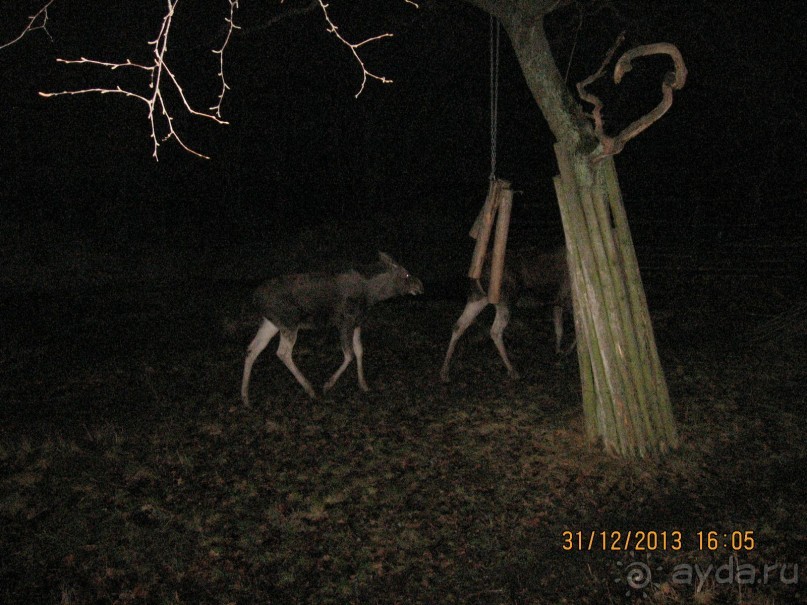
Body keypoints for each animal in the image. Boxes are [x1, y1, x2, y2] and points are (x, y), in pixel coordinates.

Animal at [241, 250, 426, 406]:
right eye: (406, 273)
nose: (421, 286)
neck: (372, 295)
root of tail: (255, 299)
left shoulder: (357, 322)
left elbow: (359, 350)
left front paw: (364, 384)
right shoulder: (345, 320)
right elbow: (349, 354)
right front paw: (327, 385)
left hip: (272, 322)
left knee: (253, 348)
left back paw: (245, 397)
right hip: (289, 321)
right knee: (283, 352)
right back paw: (310, 389)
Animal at [442, 245, 576, 382]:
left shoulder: (557, 302)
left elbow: (559, 329)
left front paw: (559, 351)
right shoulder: (566, 300)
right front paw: (566, 352)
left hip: (478, 296)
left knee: (459, 325)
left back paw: (444, 371)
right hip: (504, 298)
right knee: (495, 331)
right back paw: (512, 370)